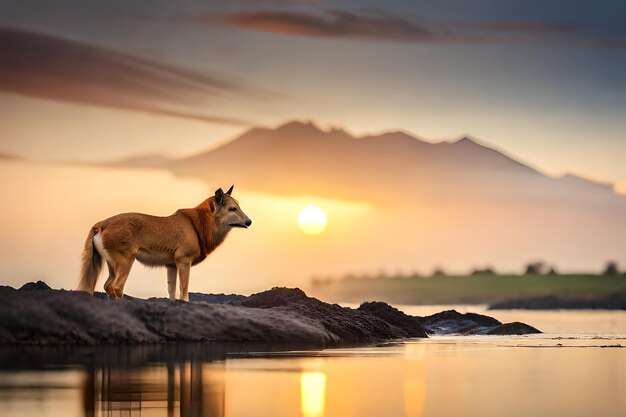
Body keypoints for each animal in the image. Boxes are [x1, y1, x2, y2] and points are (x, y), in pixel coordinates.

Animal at [78, 185, 251, 300]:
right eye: (232, 209)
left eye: (238, 206)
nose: (249, 221)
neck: (197, 224)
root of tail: (101, 224)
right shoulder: (184, 262)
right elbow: (184, 293)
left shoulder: (171, 266)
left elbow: (172, 294)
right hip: (126, 262)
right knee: (116, 288)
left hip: (112, 265)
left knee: (108, 286)